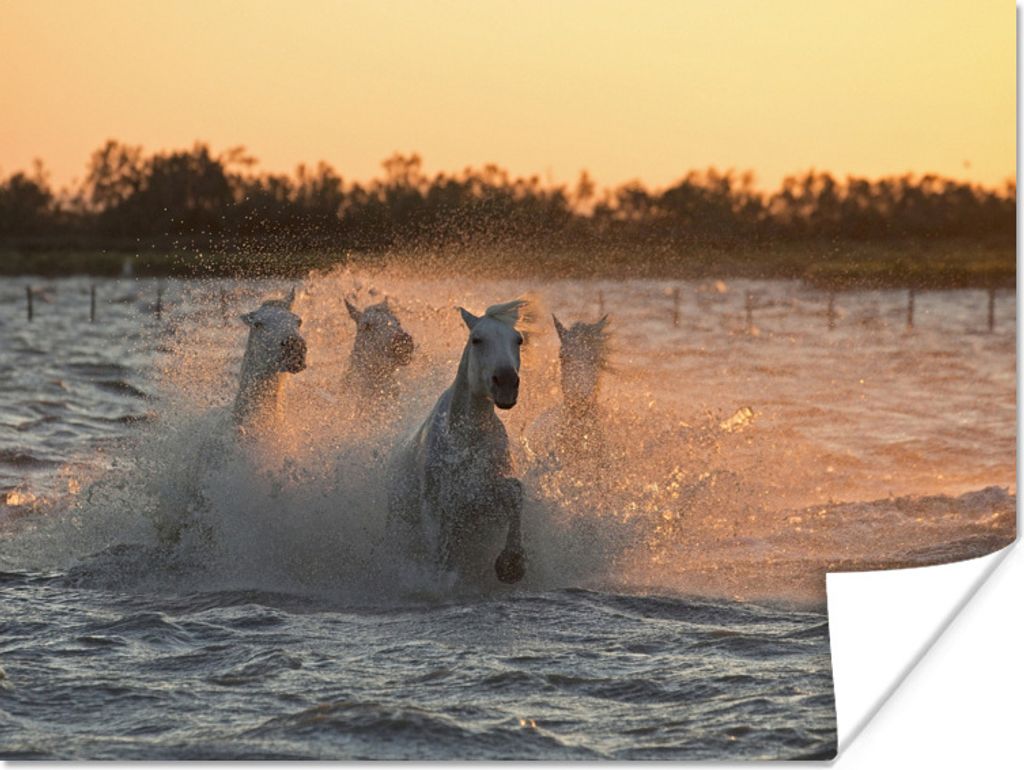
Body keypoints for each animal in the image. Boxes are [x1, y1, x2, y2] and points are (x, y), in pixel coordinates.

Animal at [386, 299, 528, 585]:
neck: (466, 441)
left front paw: (511, 564)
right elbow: (442, 546)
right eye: (477, 339)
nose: (506, 382)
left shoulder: (482, 495)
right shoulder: (439, 506)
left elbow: (515, 491)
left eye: (518, 340)